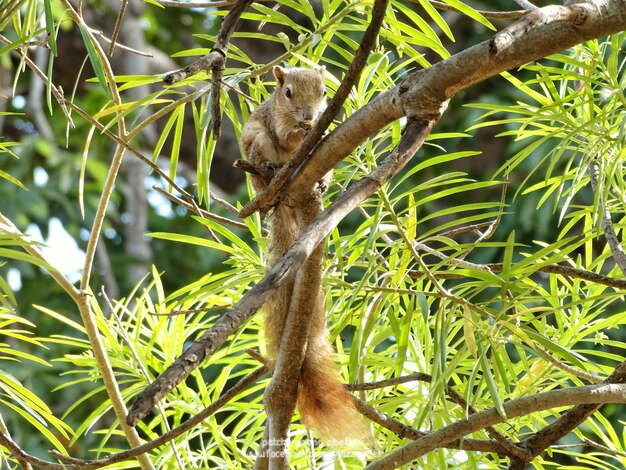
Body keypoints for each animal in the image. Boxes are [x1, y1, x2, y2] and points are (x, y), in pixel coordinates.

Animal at [238, 66, 366, 444]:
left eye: (324, 92)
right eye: (288, 93)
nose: (310, 116)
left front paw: (320, 124)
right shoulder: (276, 122)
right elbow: (286, 136)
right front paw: (300, 132)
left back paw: (320, 182)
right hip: (256, 144)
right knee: (263, 159)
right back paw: (271, 170)